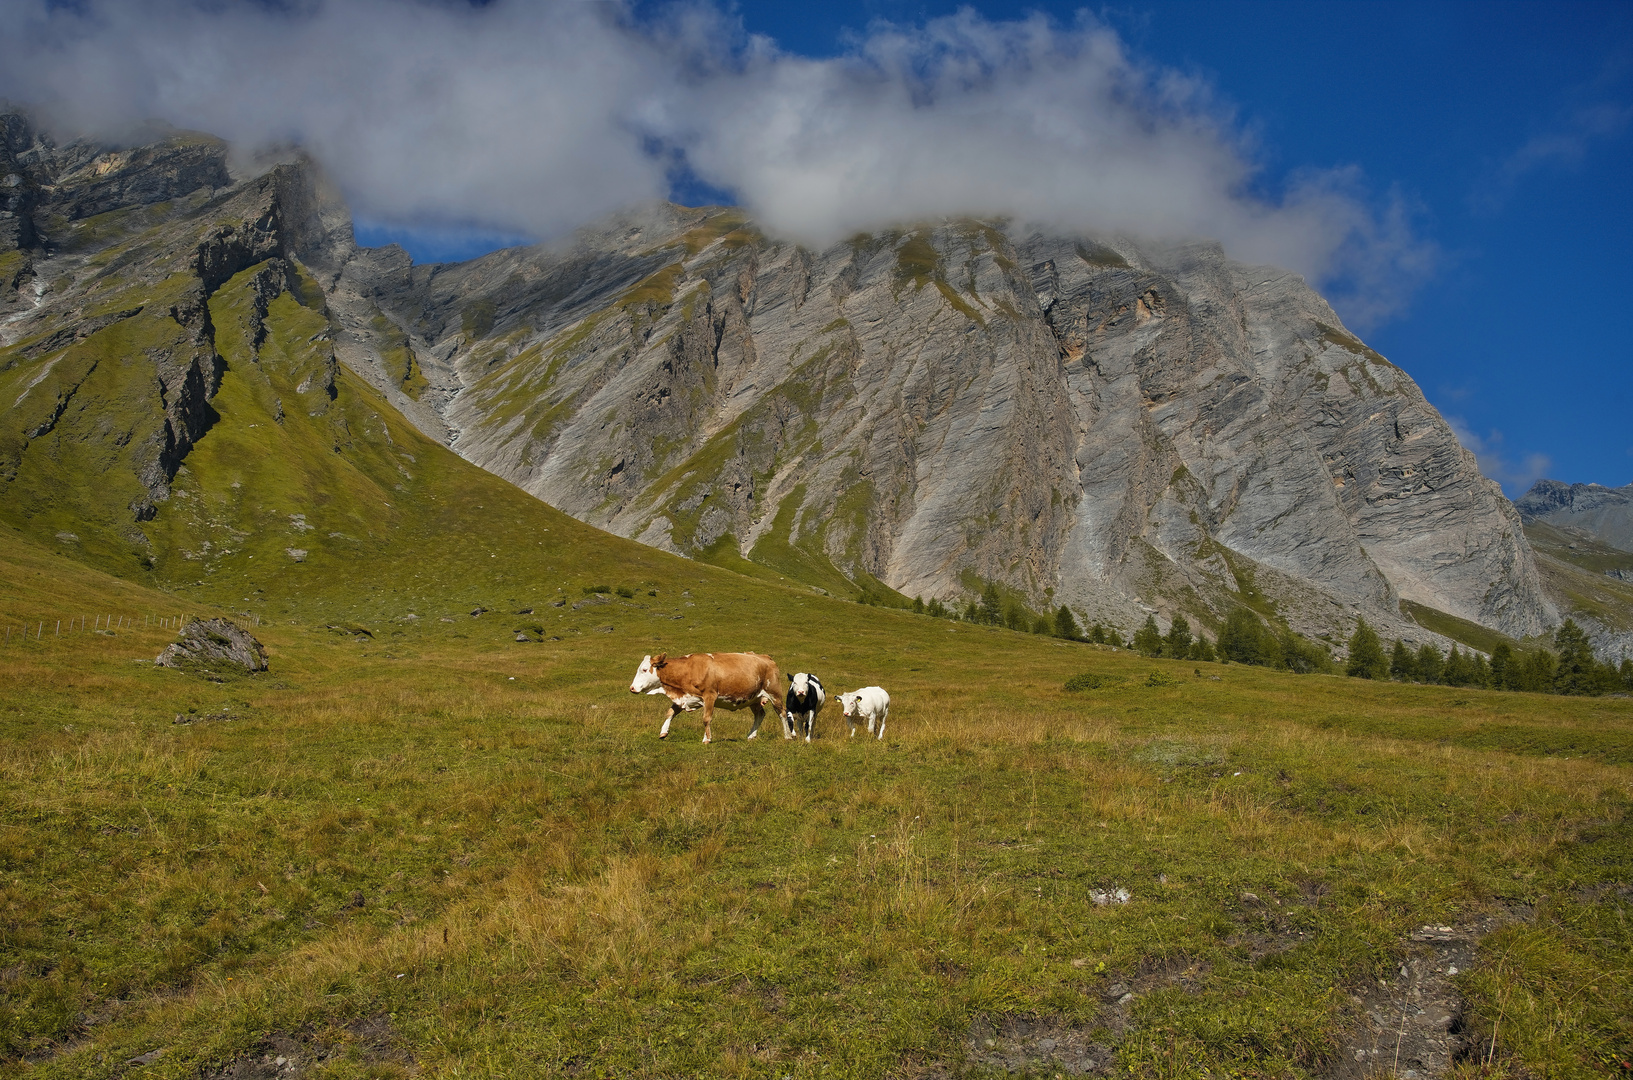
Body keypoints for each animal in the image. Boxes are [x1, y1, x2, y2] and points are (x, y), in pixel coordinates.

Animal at [627, 650, 780, 741]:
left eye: (644, 669)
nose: (632, 688)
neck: (688, 670)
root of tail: (766, 657)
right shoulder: (685, 697)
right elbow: (670, 713)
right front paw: (663, 732)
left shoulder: (710, 696)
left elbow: (706, 719)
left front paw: (707, 739)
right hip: (753, 699)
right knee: (760, 714)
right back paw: (751, 735)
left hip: (773, 694)